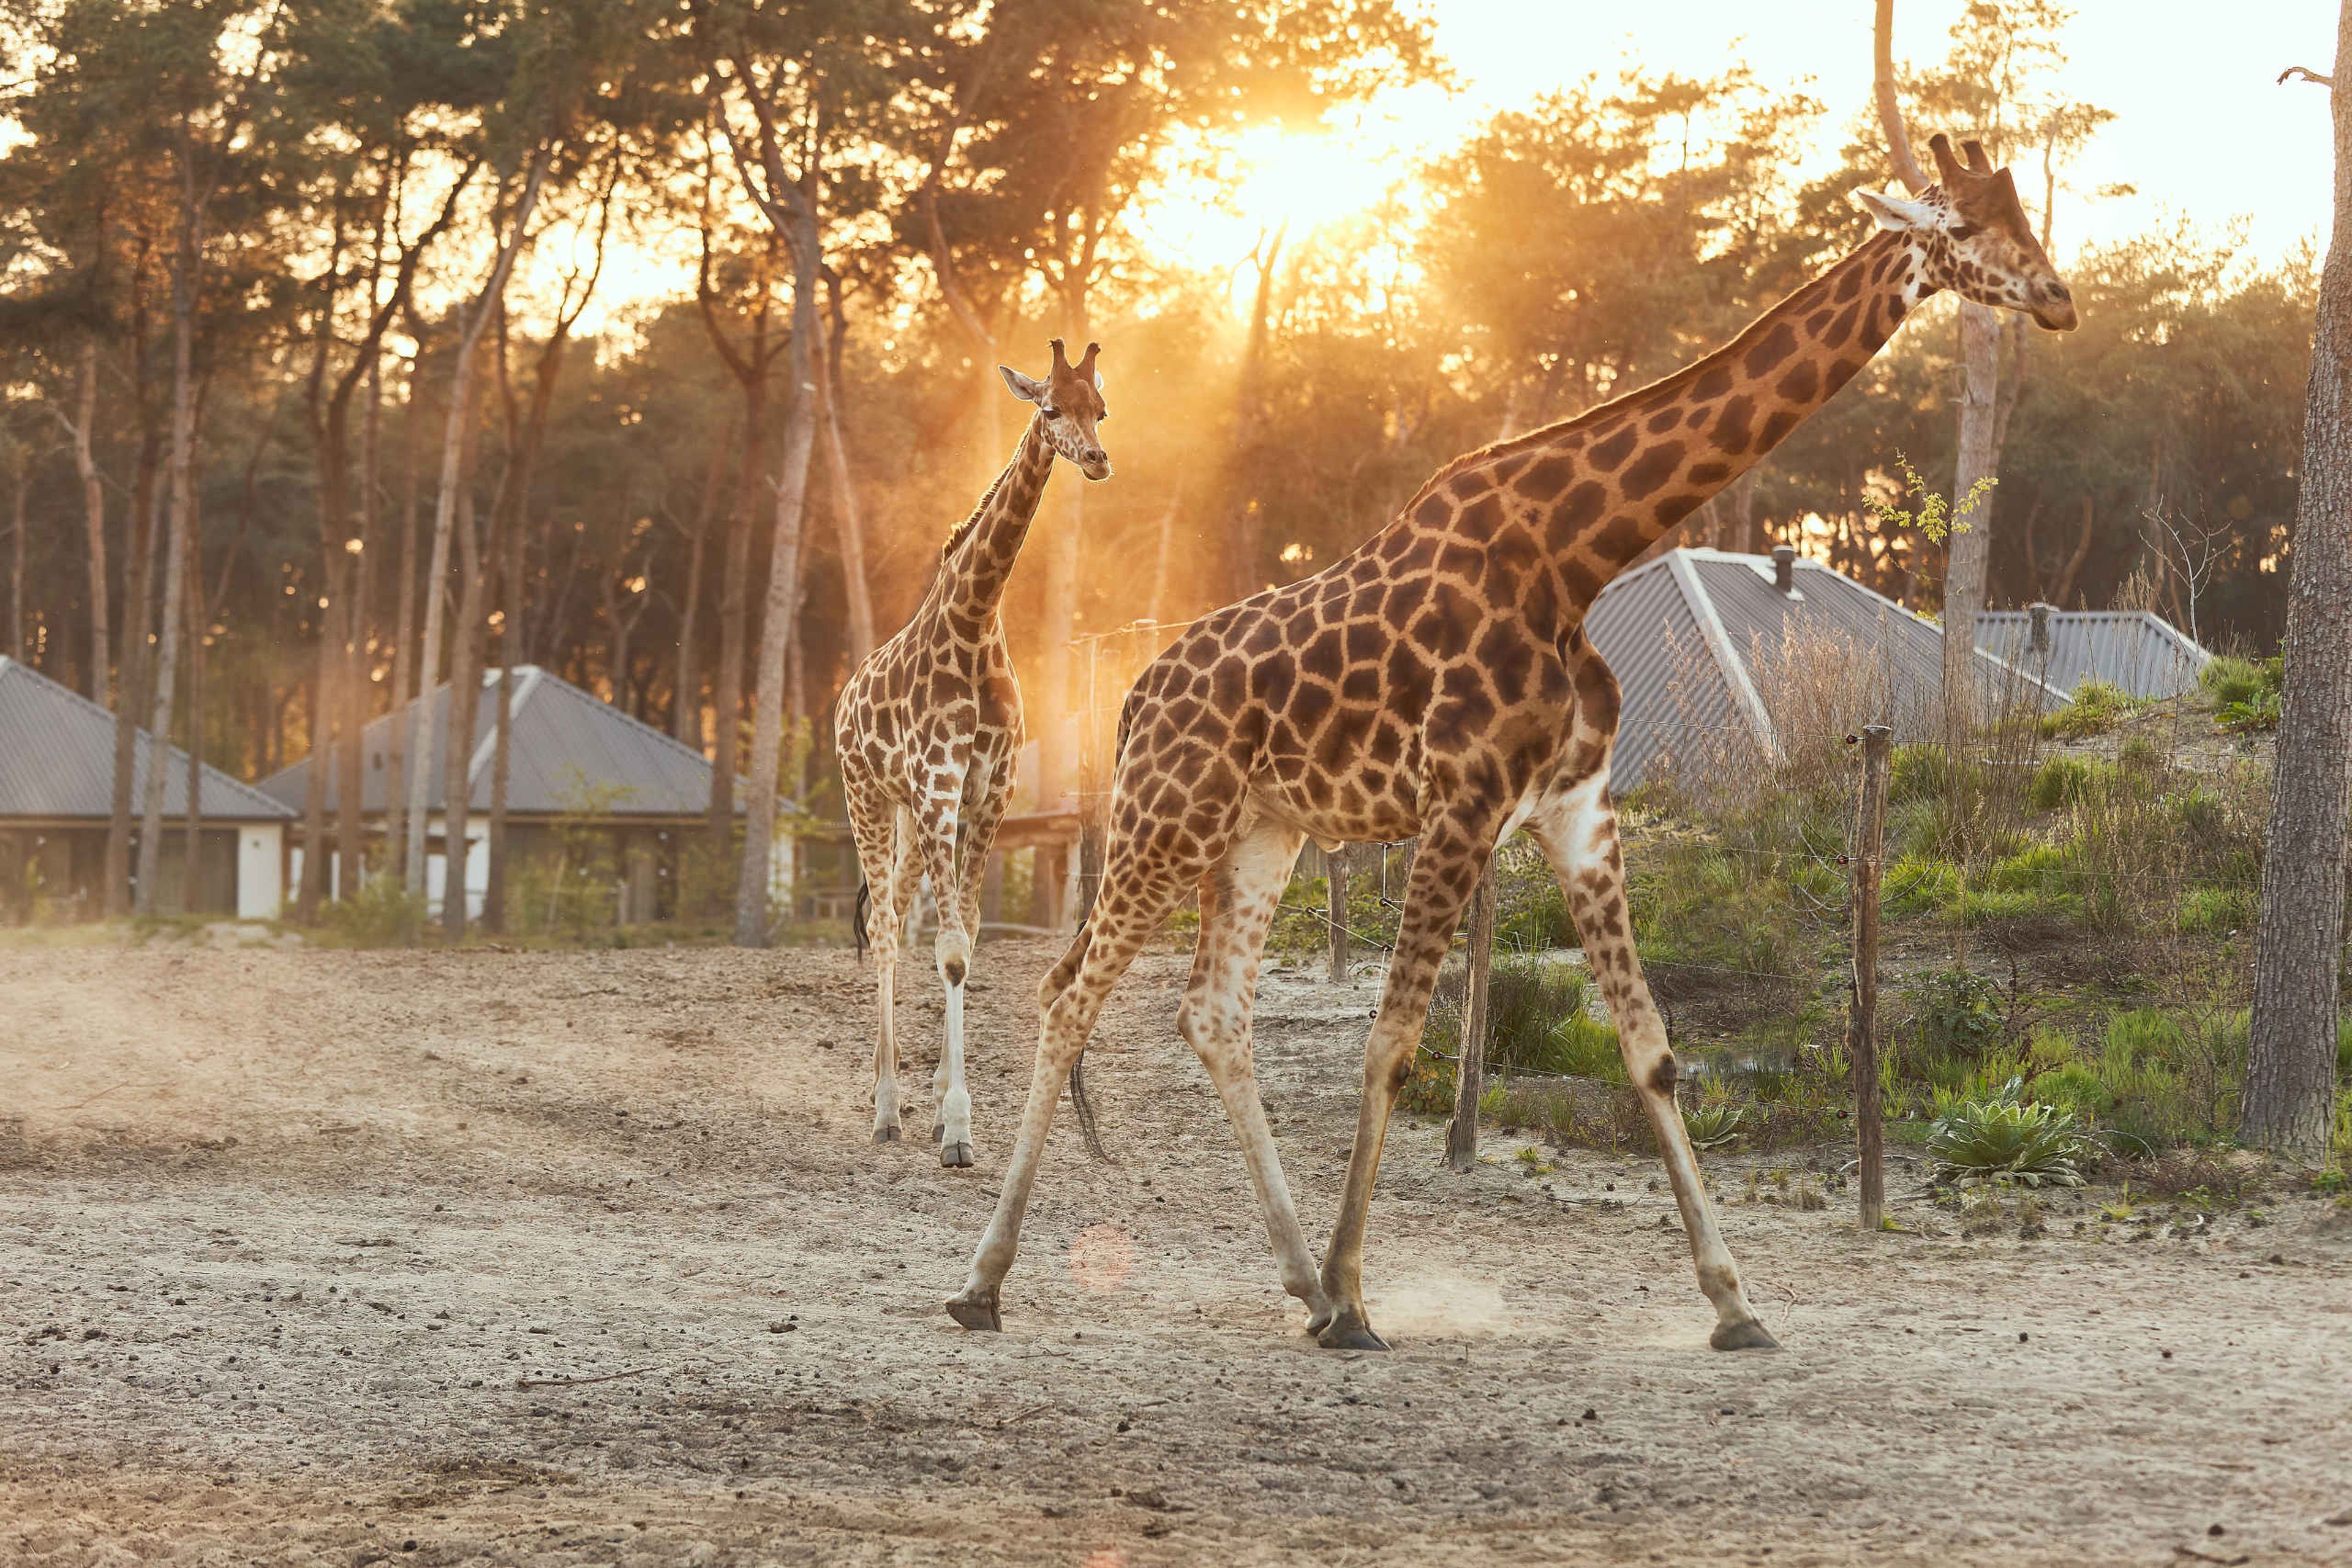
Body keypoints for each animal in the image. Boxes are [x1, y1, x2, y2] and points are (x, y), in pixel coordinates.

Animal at [836, 338, 1111, 1168]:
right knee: (885, 933)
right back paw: (886, 1109)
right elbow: (951, 950)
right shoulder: (938, 784)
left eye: (1101, 407)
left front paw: (948, 1114)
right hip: (867, 796)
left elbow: (968, 944)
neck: (975, 617)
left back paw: (906, 1103)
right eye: (1049, 408)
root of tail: (841, 700)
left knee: (897, 914)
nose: (1097, 459)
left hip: (913, 815)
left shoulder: (986, 792)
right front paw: (955, 1129)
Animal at [946, 135, 2075, 1345]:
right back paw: (984, 1283)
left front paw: (1735, 1303)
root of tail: (1134, 697)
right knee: (1070, 994)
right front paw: (1357, 1298)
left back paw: (1294, 1280)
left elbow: (1652, 1049)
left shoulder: (1577, 808)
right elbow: (1393, 1044)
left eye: (2024, 215)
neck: (1576, 554)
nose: (2058, 297)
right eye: (1965, 228)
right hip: (1169, 820)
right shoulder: (1463, 801)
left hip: (1261, 832)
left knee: (1211, 1014)